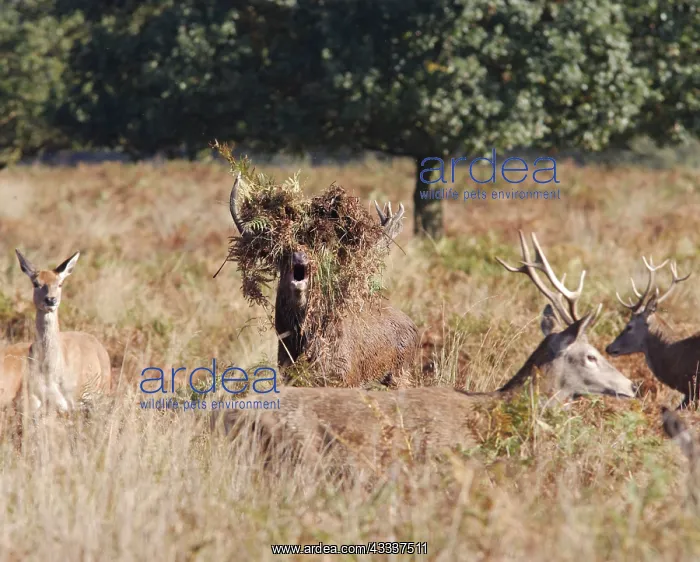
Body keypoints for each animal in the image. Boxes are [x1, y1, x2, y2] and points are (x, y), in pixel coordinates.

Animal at [228, 174, 419, 388]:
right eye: (284, 250)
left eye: (318, 247)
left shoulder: (346, 379)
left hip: (401, 373)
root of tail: (415, 327)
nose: (300, 256)